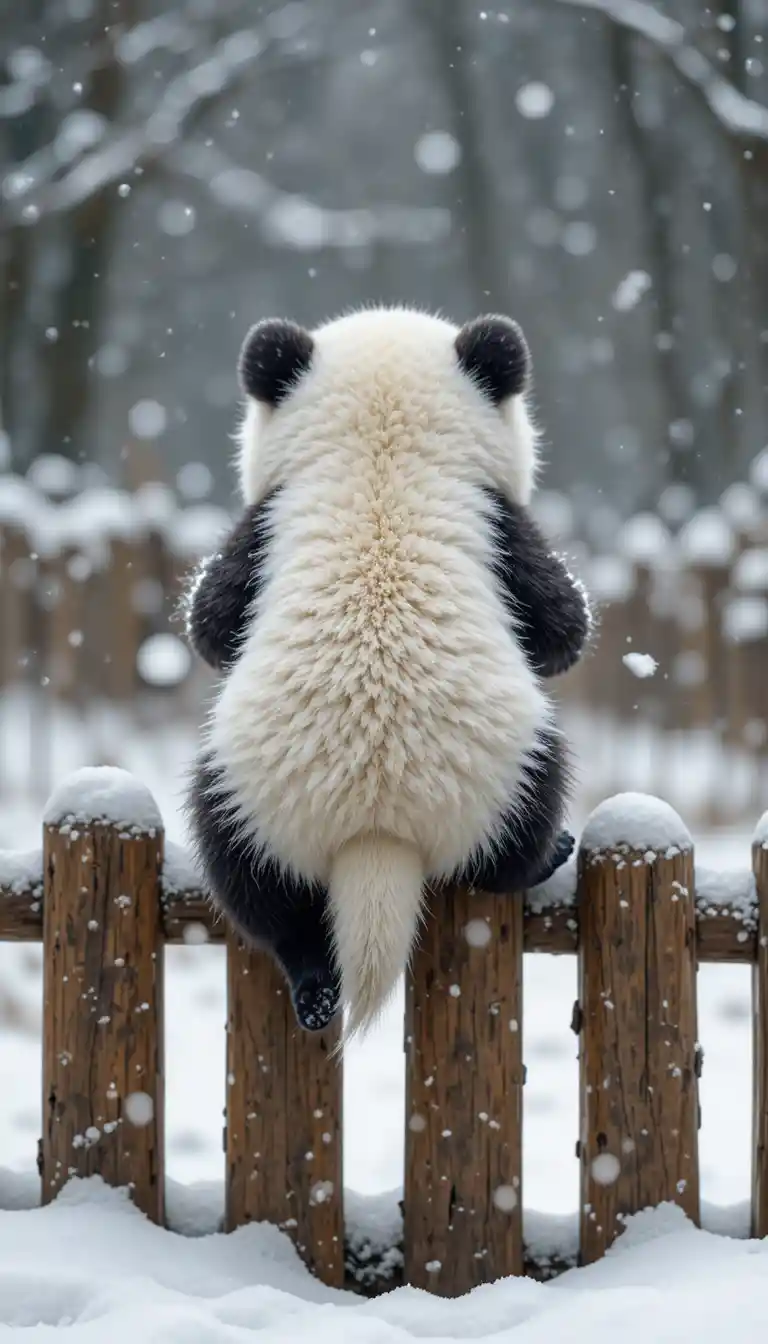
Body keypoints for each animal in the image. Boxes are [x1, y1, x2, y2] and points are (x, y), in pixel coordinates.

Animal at [184, 306, 591, 1041]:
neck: (381, 452)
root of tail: (377, 828)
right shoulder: (495, 520)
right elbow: (560, 628)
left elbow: (214, 621)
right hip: (490, 769)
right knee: (509, 843)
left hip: (269, 796)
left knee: (256, 886)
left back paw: (315, 986)